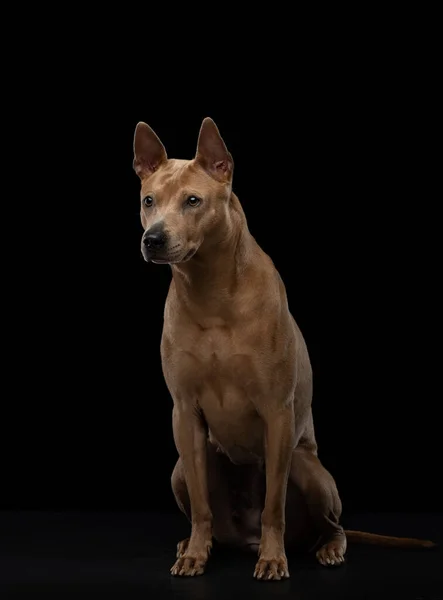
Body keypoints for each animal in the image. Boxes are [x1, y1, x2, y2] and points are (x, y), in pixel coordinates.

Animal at [133, 117, 438, 580]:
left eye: (192, 201)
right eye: (149, 200)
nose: (153, 238)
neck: (210, 289)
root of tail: (243, 538)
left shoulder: (277, 412)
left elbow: (272, 504)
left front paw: (273, 559)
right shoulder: (184, 412)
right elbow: (202, 506)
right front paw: (195, 554)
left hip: (308, 468)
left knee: (331, 524)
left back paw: (325, 548)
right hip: (181, 468)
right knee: (207, 511)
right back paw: (197, 542)